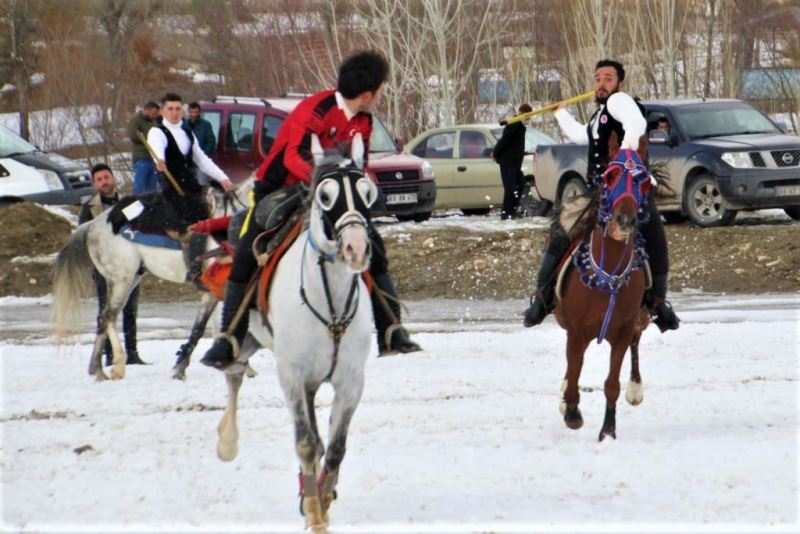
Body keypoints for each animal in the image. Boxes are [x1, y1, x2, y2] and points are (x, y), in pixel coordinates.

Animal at [51, 179, 252, 382]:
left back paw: (97, 369)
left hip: (131, 279)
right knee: (108, 316)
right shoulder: (217, 292)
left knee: (103, 319)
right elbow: (211, 328)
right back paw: (117, 367)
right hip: (121, 279)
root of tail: (93, 224)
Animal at [217, 135, 376, 534]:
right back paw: (227, 441)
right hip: (244, 339)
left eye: (368, 193)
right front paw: (315, 511)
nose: (356, 248)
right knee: (233, 375)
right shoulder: (291, 375)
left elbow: (334, 448)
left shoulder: (351, 381)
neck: (329, 302)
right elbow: (306, 442)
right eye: (325, 196)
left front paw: (321, 500)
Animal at [552, 149, 652, 442]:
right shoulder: (577, 331)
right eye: (611, 175)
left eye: (642, 181)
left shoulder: (624, 330)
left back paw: (635, 389)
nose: (625, 220)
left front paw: (607, 431)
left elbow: (611, 383)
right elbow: (574, 372)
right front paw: (572, 412)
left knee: (636, 345)